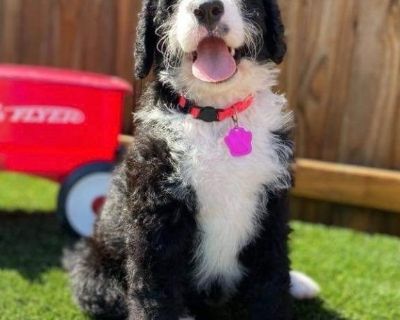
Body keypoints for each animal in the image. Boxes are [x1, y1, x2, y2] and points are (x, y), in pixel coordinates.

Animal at [67, 0, 320, 320]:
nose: (208, 8)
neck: (217, 114)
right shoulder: (155, 212)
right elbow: (154, 288)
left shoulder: (272, 202)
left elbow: (271, 273)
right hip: (94, 269)